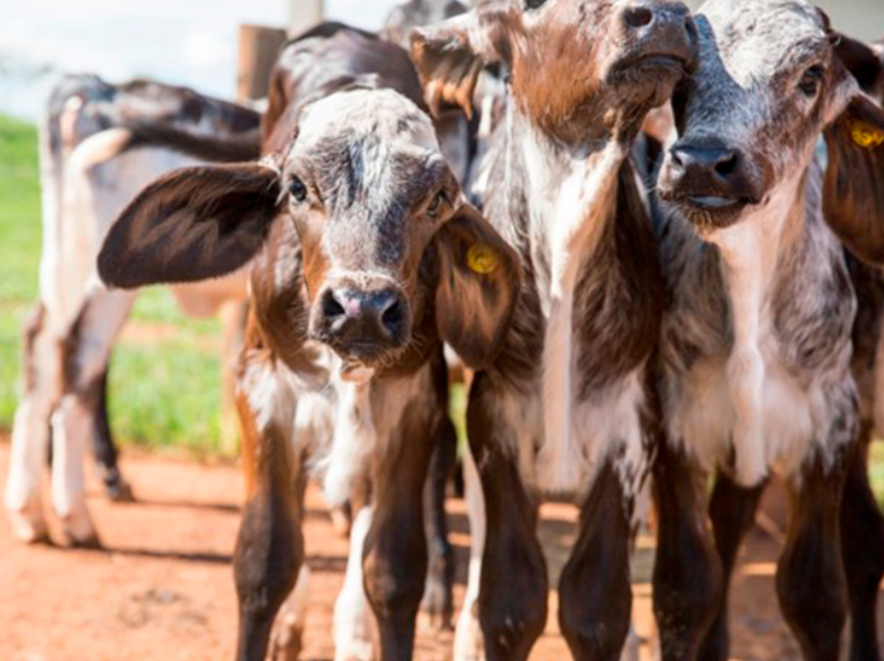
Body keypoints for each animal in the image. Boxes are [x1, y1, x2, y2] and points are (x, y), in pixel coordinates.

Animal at [5, 75, 260, 544]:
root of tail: (94, 87)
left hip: (67, 264)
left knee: (43, 342)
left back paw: (30, 510)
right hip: (105, 276)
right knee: (83, 356)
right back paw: (77, 511)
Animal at [97, 23, 524, 660]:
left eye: (438, 199)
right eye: (297, 189)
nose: (362, 309)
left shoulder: (412, 403)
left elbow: (393, 571)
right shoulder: (262, 390)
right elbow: (265, 560)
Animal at [412, 1, 696, 660]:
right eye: (531, 6)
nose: (667, 16)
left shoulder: (631, 429)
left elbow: (595, 607)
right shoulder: (493, 422)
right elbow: (512, 601)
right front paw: (478, 625)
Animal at [652, 1, 884, 660]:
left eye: (811, 75)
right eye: (681, 72)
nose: (703, 163)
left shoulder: (827, 431)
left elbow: (814, 594)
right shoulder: (676, 424)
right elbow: (686, 589)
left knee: (864, 544)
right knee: (730, 523)